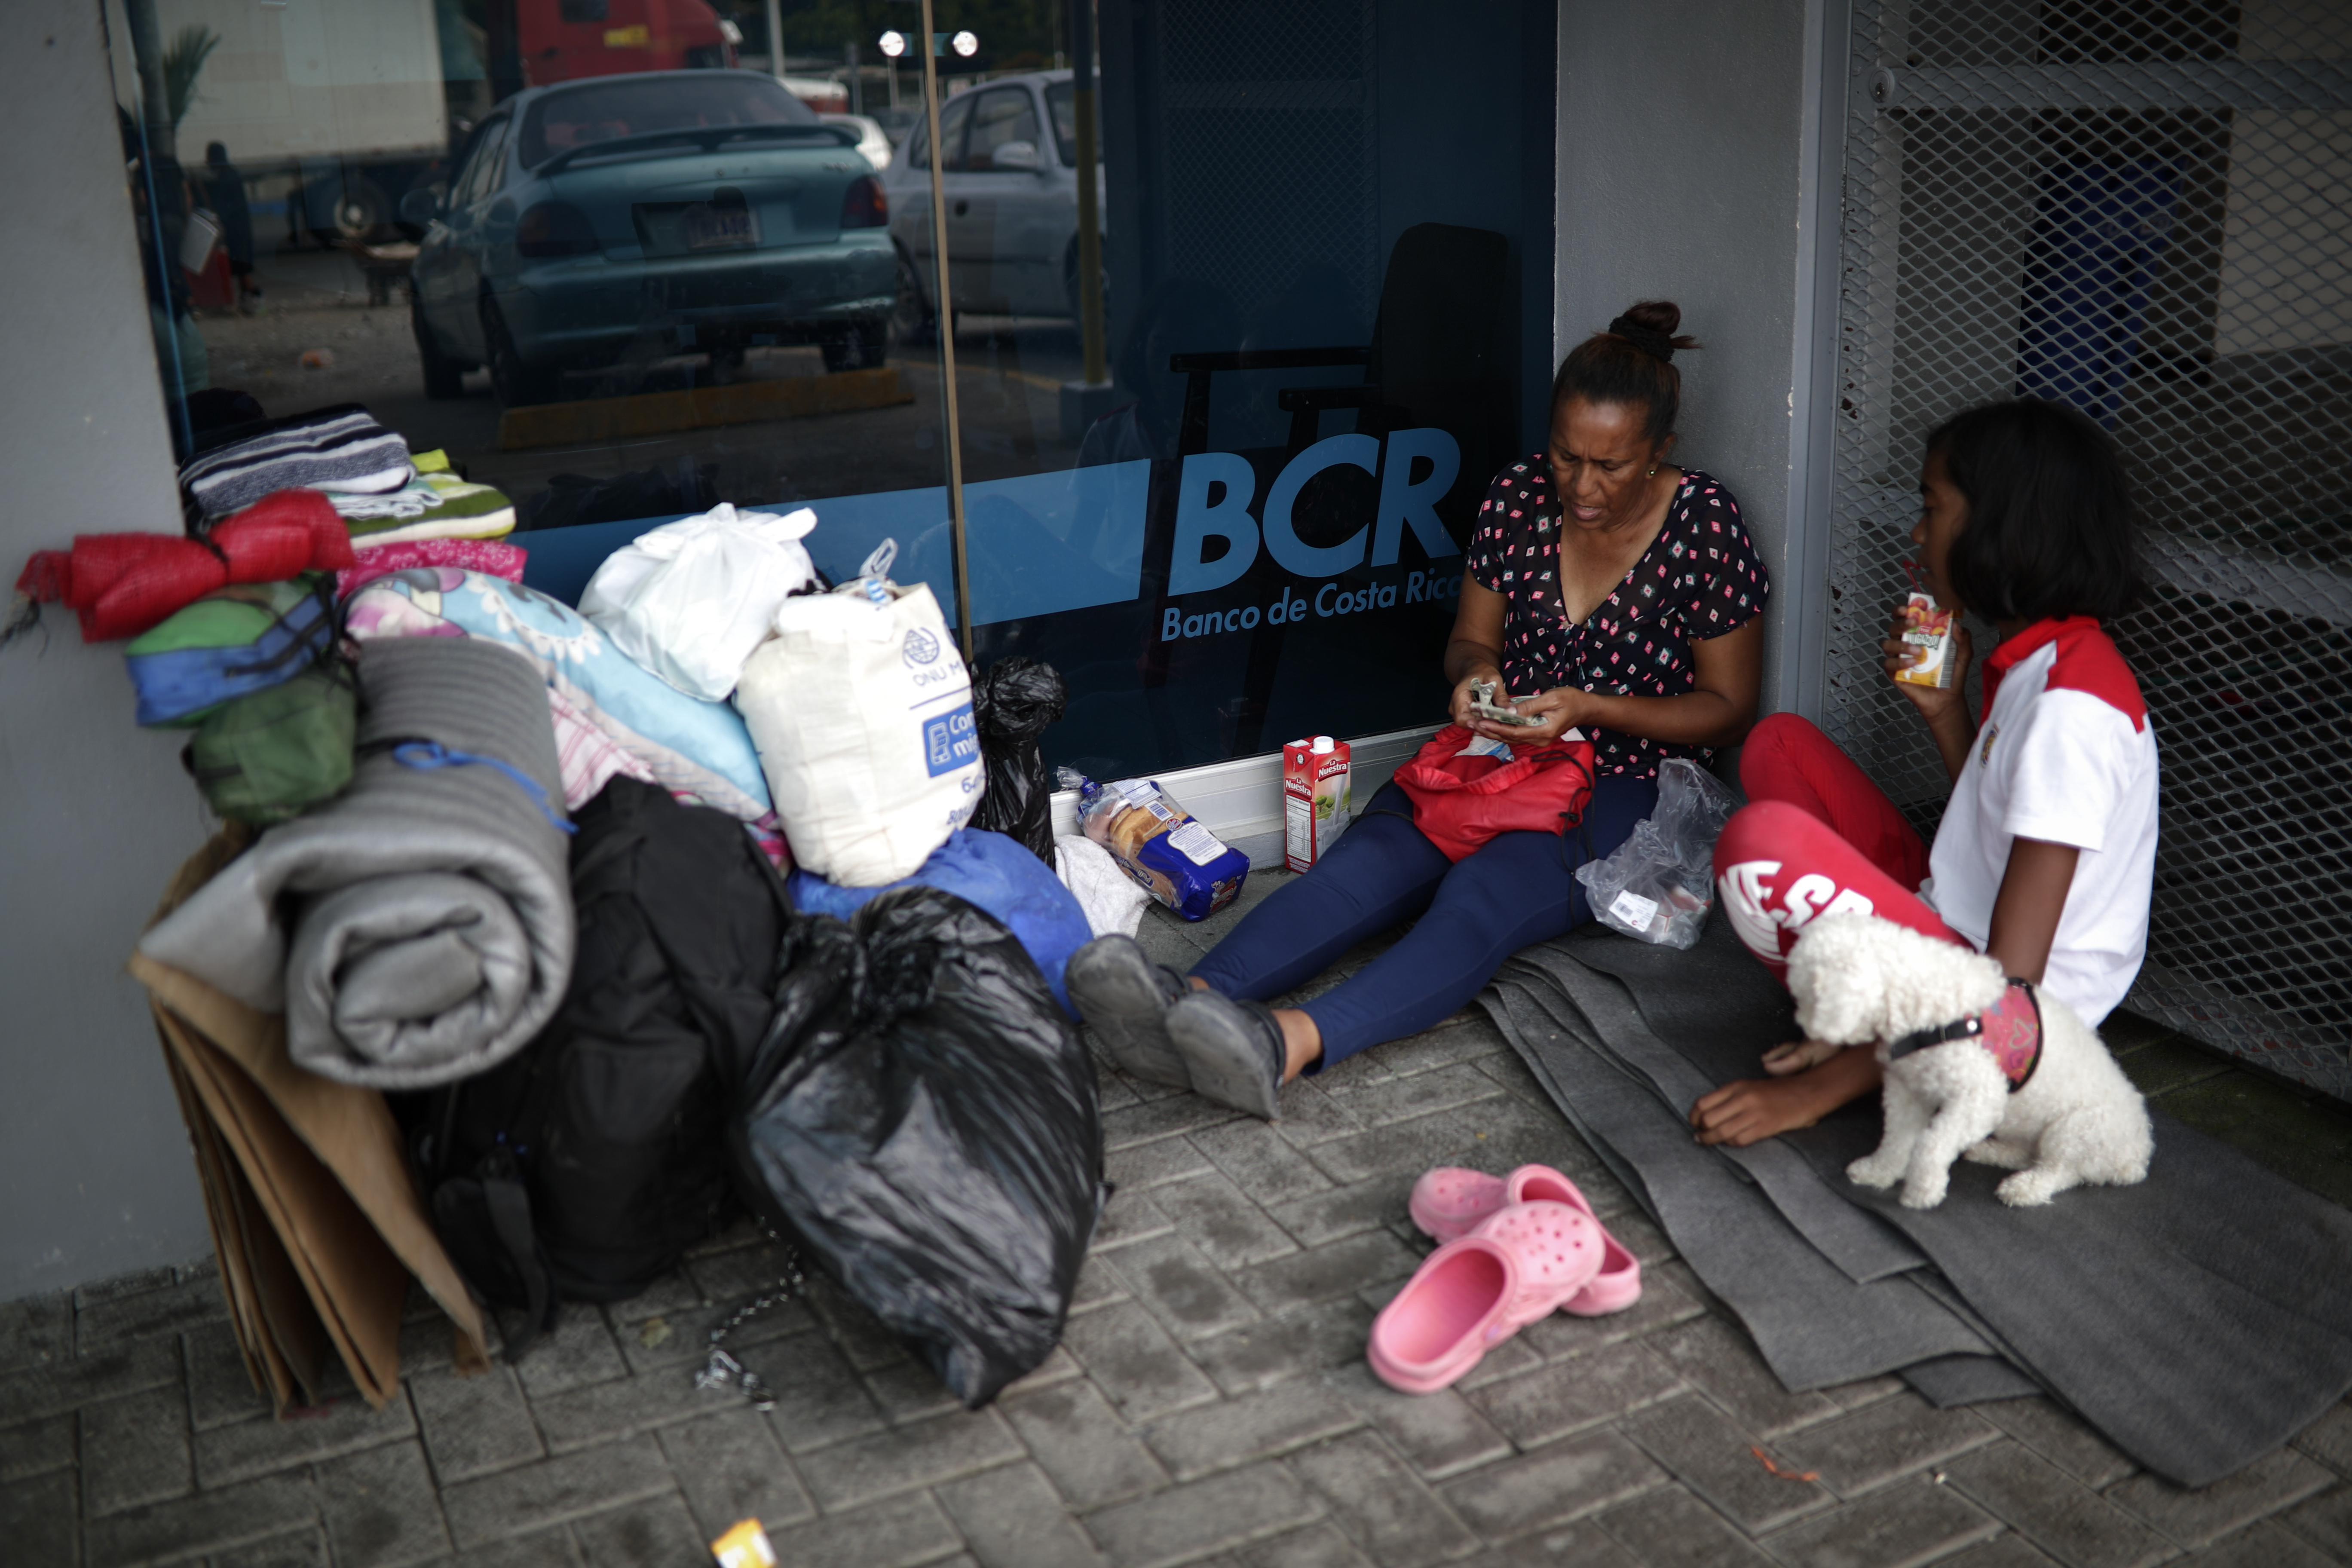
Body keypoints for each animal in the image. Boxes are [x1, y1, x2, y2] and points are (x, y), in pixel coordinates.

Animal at [1778, 912, 2154, 1213]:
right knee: (2025, 1152)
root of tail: (2137, 1158)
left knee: (2060, 1169)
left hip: (2079, 1130)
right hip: (2023, 1124)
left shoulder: (1978, 1099)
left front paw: (1923, 1189)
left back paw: (2026, 1187)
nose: (1804, 1026)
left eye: (1807, 995)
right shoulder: (1908, 1090)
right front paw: (1878, 1172)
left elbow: (1931, 1143)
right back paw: (1990, 1152)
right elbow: (1896, 1139)